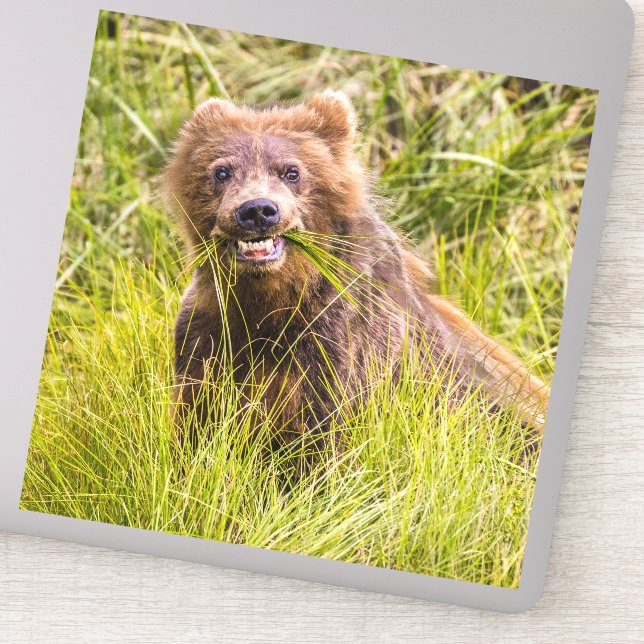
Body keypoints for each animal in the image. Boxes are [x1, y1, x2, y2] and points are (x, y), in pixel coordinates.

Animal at [160, 89, 549, 454]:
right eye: (221, 171)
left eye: (291, 171)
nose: (257, 210)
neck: (272, 298)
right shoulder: (210, 330)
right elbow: (197, 421)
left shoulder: (340, 342)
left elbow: (326, 437)